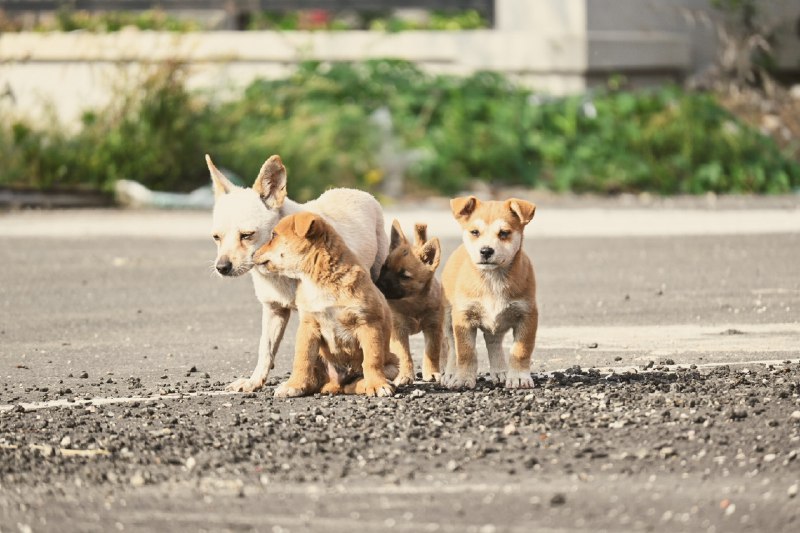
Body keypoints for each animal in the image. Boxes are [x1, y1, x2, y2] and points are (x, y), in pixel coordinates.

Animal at [253, 211, 396, 394]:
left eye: (274, 235)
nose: (253, 254)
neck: (318, 279)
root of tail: (338, 383)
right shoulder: (308, 326)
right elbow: (302, 359)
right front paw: (293, 385)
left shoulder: (368, 323)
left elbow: (372, 359)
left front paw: (377, 385)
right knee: (316, 378)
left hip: (392, 364)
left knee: (357, 380)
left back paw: (366, 384)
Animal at [378, 220, 446, 382]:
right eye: (384, 267)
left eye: (404, 276)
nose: (379, 284)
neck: (413, 302)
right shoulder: (398, 331)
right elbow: (404, 355)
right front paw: (405, 375)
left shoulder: (434, 328)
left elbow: (432, 353)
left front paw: (432, 372)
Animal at [440, 195, 540, 386]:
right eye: (475, 232)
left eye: (504, 233)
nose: (486, 251)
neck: (492, 280)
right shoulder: (463, 317)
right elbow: (465, 352)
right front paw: (463, 379)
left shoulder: (527, 315)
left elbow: (521, 350)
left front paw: (518, 377)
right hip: (448, 318)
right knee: (452, 347)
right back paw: (450, 374)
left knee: (494, 343)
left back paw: (500, 371)